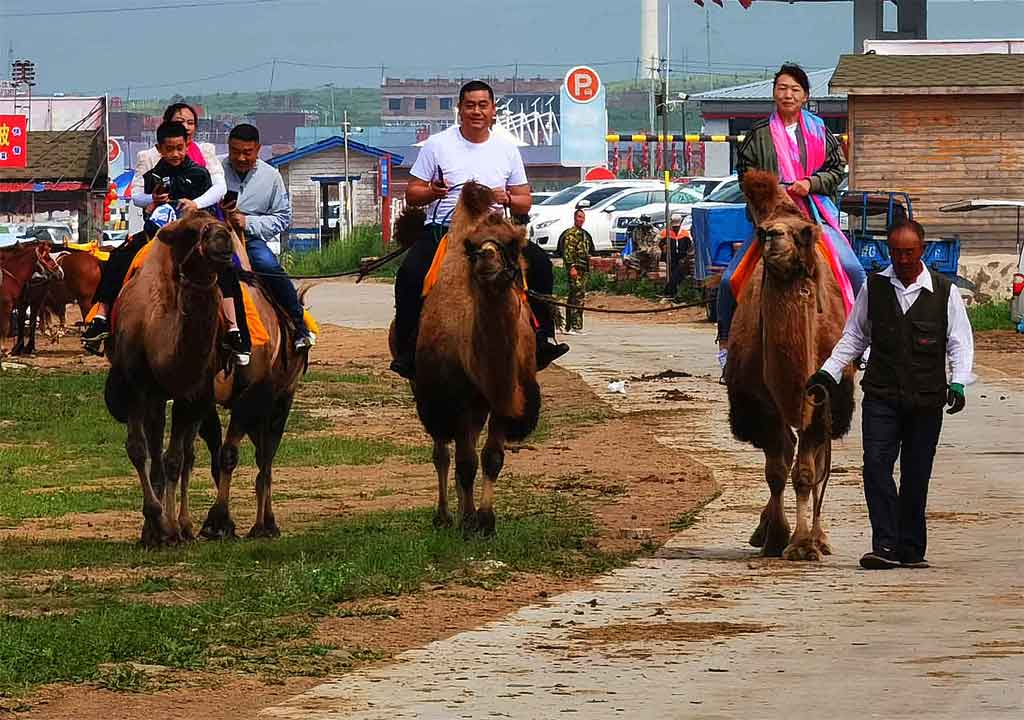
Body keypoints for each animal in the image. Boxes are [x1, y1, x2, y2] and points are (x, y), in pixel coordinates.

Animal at [104, 213, 235, 544]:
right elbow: (138, 450)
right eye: (189, 232)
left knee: (187, 454)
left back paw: (185, 525)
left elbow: (175, 458)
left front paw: (171, 527)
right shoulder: (137, 389)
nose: (223, 239)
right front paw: (155, 523)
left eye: (223, 224)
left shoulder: (192, 393)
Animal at [387, 181, 540, 536]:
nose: (487, 257)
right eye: (471, 245)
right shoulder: (455, 397)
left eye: (512, 243)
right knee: (444, 451)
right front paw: (469, 520)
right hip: (426, 390)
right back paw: (445, 515)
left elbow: (492, 457)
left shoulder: (505, 395)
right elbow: (465, 461)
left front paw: (485, 520)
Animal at [724, 170, 860, 565]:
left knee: (818, 460)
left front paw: (803, 544)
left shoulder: (822, 396)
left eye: (806, 233)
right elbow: (776, 469)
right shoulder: (760, 404)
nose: (775, 238)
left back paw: (820, 536)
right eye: (761, 231)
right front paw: (775, 536)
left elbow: (805, 472)